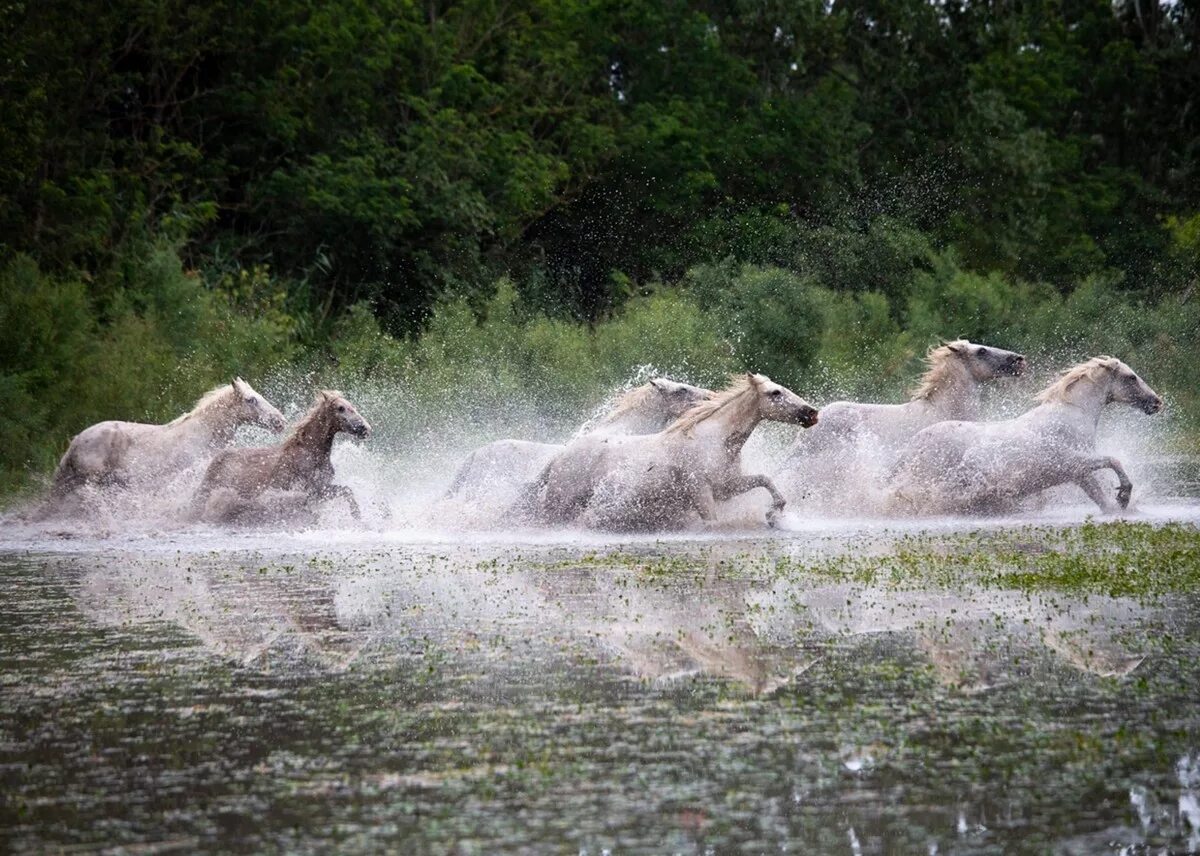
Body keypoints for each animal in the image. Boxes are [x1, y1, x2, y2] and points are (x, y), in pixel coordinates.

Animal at [193, 391, 369, 523]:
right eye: (340, 408)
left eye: (352, 406)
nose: (364, 428)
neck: (313, 453)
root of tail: (215, 460)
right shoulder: (310, 491)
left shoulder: (322, 489)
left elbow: (347, 491)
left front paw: (358, 517)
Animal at [516, 372, 816, 528]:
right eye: (775, 393)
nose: (811, 413)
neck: (712, 441)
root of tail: (560, 456)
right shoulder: (701, 491)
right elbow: (713, 523)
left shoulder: (726, 487)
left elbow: (765, 479)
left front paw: (774, 514)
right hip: (560, 504)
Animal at [892, 355, 1161, 513]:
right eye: (1131, 377)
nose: (1156, 402)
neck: (1074, 413)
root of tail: (911, 447)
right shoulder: (1072, 461)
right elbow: (1113, 460)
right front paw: (1124, 495)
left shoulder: (1077, 473)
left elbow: (1101, 499)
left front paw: (1121, 505)